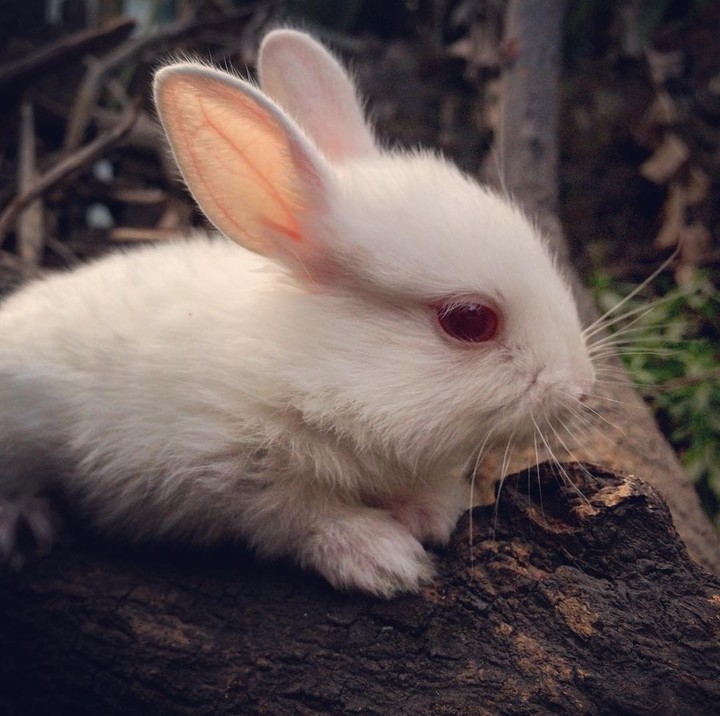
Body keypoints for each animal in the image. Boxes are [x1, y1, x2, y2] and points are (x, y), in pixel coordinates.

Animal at [0, 29, 595, 597]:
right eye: (470, 319)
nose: (580, 389)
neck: (308, 368)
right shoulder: (225, 476)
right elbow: (301, 516)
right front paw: (386, 561)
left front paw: (434, 510)